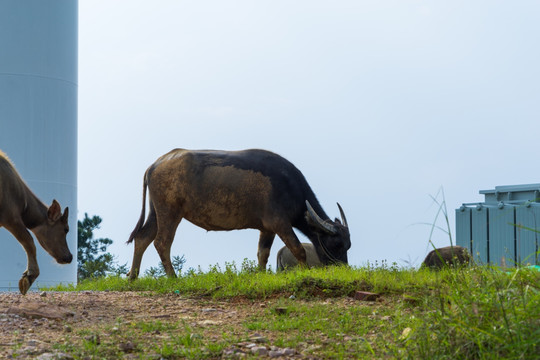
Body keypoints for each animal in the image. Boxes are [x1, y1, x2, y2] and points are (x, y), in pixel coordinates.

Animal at [126, 148, 350, 278]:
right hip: (170, 212)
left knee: (142, 238)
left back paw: (133, 276)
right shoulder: (280, 223)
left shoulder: (267, 228)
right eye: (337, 244)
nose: (342, 268)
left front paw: (260, 275)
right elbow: (299, 249)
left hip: (156, 212)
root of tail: (155, 165)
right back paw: (173, 277)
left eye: (348, 245)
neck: (288, 187)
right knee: (162, 242)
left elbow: (262, 254)